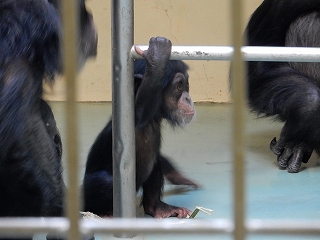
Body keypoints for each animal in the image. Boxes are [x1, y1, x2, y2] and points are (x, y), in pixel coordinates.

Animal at [83, 36, 195, 218]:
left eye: (186, 85)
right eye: (179, 86)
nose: (188, 97)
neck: (153, 119)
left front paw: (179, 177)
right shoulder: (133, 116)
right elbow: (142, 107)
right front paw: (158, 55)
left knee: (155, 162)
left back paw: (159, 208)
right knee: (106, 182)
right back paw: (106, 213)